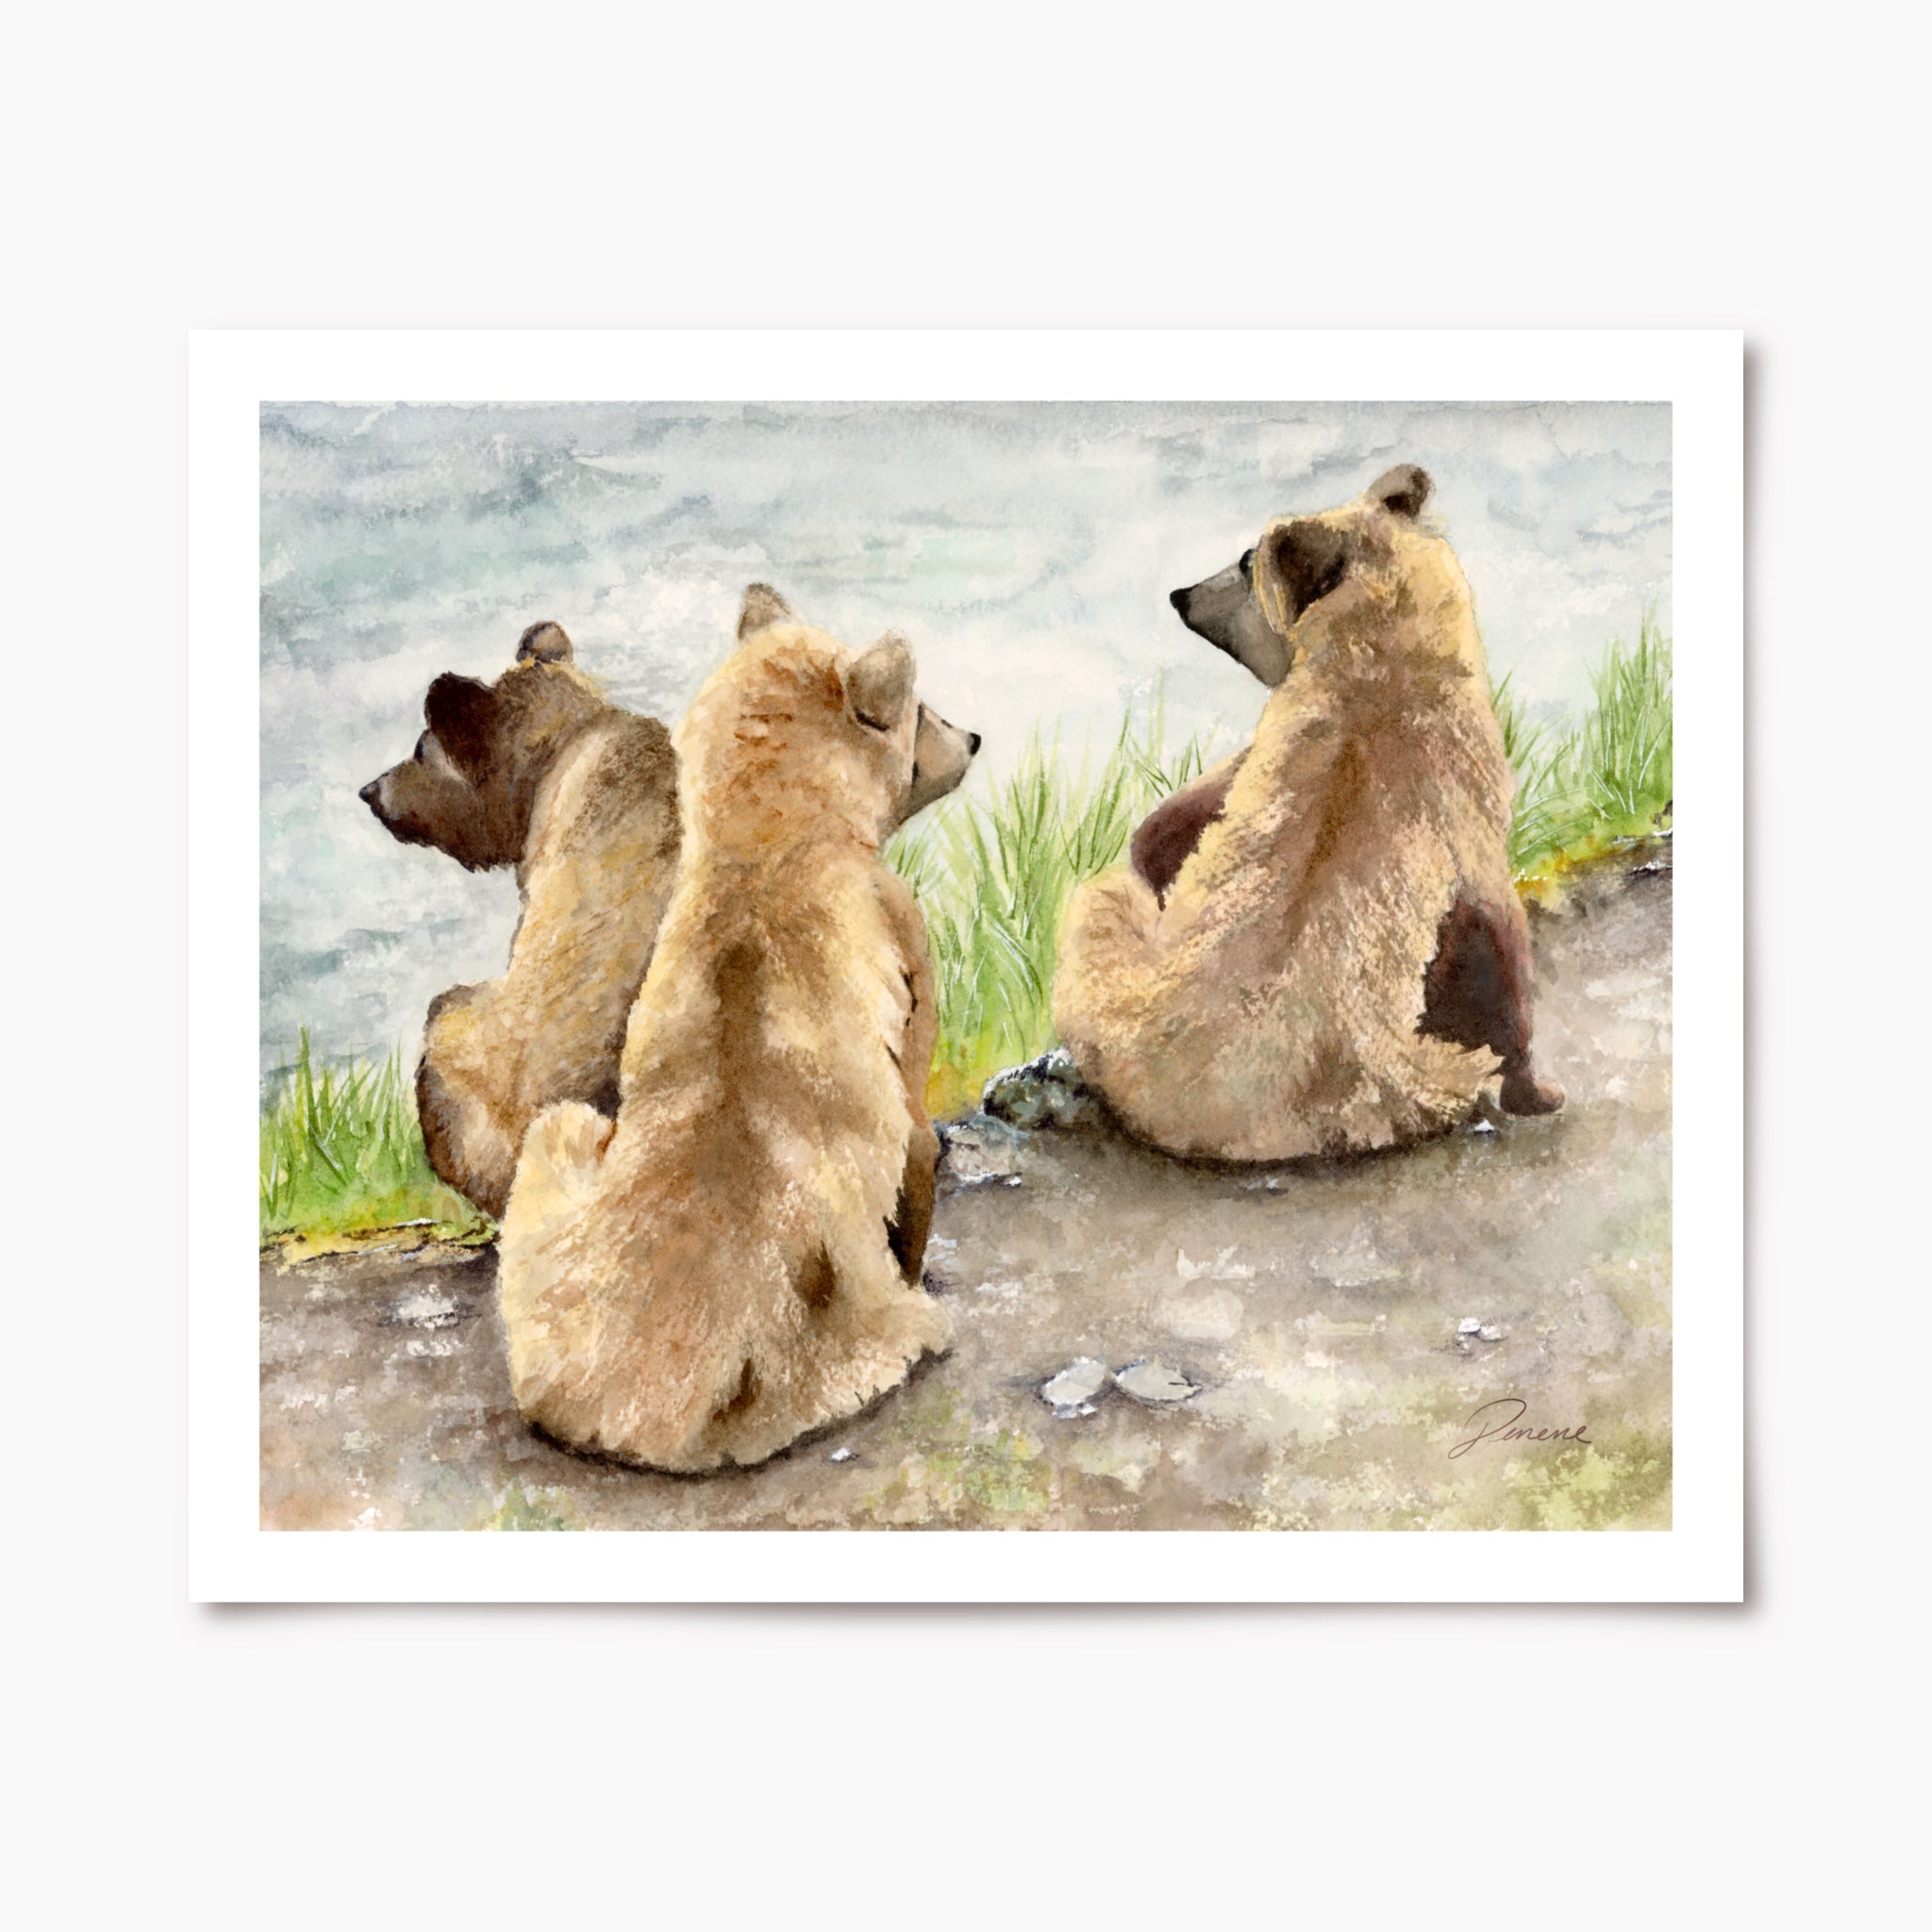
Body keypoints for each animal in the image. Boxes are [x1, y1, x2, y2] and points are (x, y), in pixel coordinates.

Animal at [495, 586, 979, 1472]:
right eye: (919, 709)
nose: (973, 737)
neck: (762, 858)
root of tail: (634, 1411)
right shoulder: (905, 950)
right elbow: (918, 1149)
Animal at [1052, 464, 1562, 1165]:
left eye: (1244, 560)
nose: (1181, 594)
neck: (1377, 647)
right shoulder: (1459, 801)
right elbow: (1500, 937)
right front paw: (1537, 1086)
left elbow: (1164, 835)